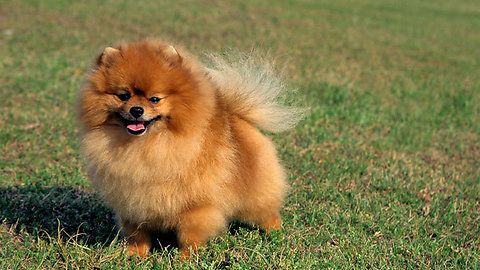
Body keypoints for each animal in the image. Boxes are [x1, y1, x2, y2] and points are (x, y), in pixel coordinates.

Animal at [79, 38, 304, 258]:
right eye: (123, 96)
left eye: (154, 99)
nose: (136, 110)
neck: (146, 145)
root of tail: (235, 116)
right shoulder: (132, 205)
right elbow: (138, 233)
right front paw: (135, 254)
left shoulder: (195, 207)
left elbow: (189, 235)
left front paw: (185, 258)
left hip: (255, 194)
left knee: (267, 212)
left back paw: (275, 233)